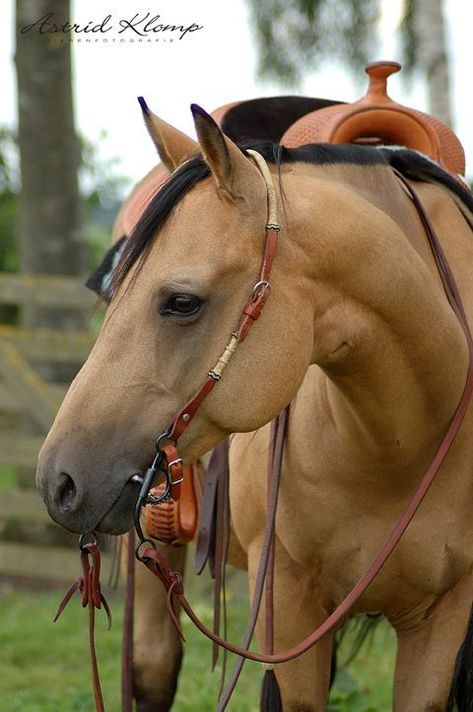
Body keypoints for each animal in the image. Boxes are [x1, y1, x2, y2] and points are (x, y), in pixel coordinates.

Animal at [37, 62, 473, 712]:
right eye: (112, 295)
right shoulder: (288, 606)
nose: (58, 482)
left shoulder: (444, 618)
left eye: (182, 302)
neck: (403, 440)